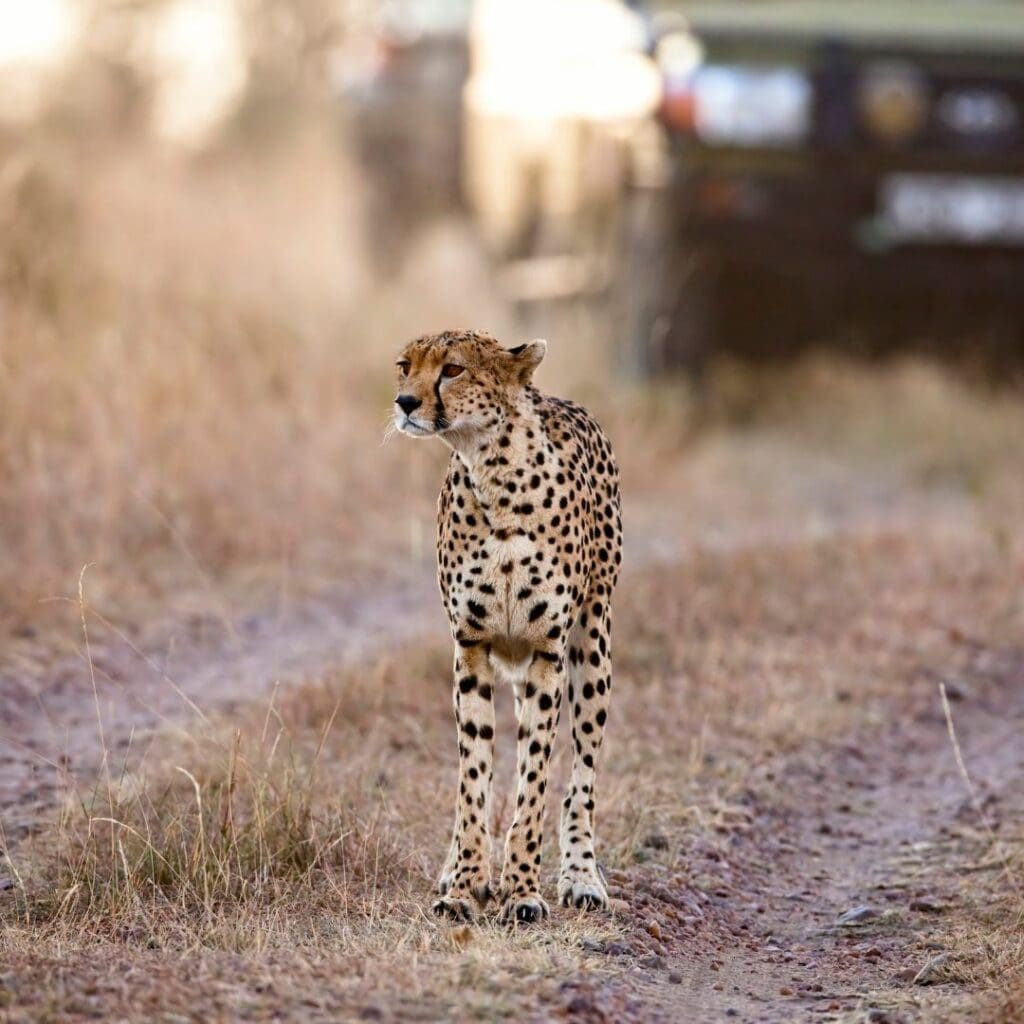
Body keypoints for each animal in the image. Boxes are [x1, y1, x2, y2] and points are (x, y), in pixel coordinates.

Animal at [391, 331, 622, 925]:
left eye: (452, 369)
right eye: (404, 366)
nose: (404, 402)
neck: (494, 473)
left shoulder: (547, 652)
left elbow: (534, 779)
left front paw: (520, 890)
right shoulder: (470, 647)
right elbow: (473, 775)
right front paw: (465, 885)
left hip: (593, 645)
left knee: (582, 772)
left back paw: (580, 875)